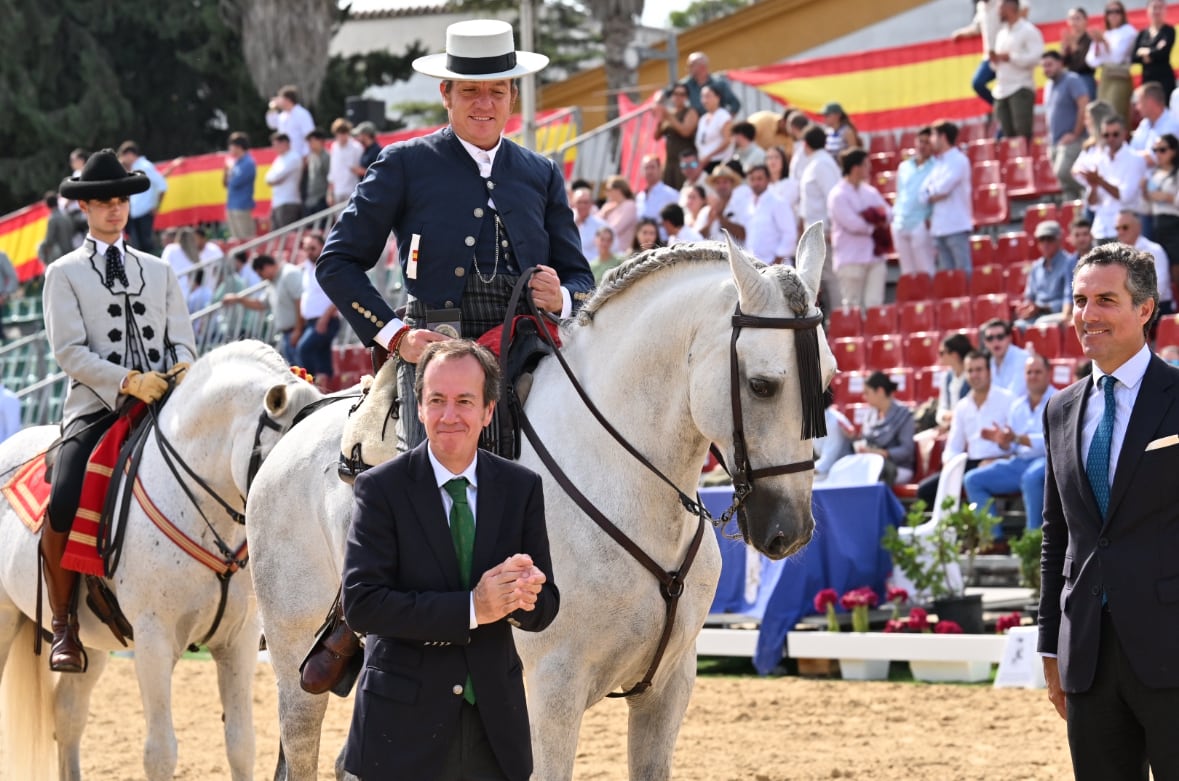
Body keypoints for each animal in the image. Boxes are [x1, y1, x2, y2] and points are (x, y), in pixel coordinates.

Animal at [0, 342, 323, 781]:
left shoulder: (237, 640)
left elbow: (241, 744)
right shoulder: (154, 638)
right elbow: (161, 752)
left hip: (92, 645)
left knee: (68, 714)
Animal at [248, 225, 839, 778]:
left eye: (829, 383)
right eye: (762, 385)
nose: (791, 530)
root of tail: (298, 428)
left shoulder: (669, 687)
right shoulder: (550, 694)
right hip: (295, 661)